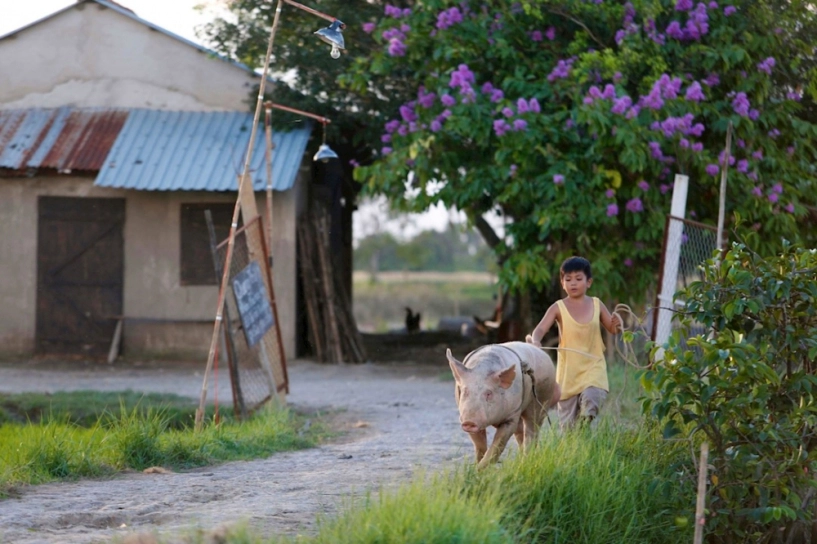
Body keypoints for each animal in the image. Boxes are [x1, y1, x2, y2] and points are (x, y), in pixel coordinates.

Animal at [446, 340, 560, 468]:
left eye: (489, 393)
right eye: (465, 392)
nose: (469, 422)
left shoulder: (512, 415)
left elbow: (499, 443)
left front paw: (479, 469)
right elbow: (479, 445)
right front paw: (476, 466)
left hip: (542, 397)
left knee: (532, 429)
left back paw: (526, 462)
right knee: (520, 432)